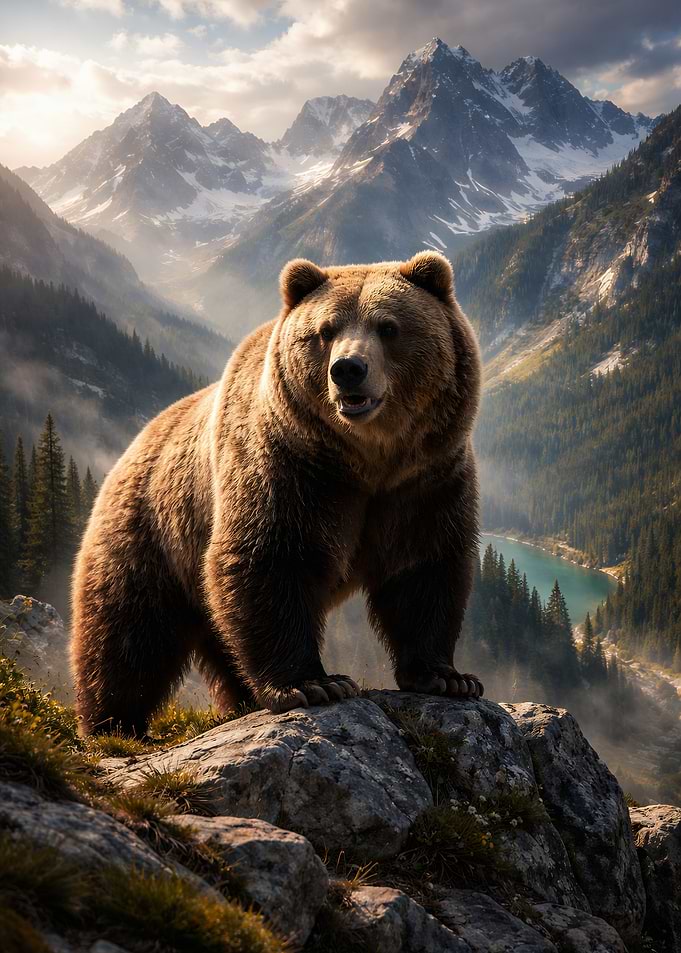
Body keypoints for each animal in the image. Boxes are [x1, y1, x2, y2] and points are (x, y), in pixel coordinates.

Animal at [71, 250, 483, 735]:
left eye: (388, 326)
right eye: (326, 330)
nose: (348, 370)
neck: (368, 461)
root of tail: (130, 449)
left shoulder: (426, 481)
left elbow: (425, 567)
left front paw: (448, 677)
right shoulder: (290, 468)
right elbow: (269, 556)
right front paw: (314, 684)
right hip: (151, 533)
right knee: (128, 634)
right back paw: (111, 722)